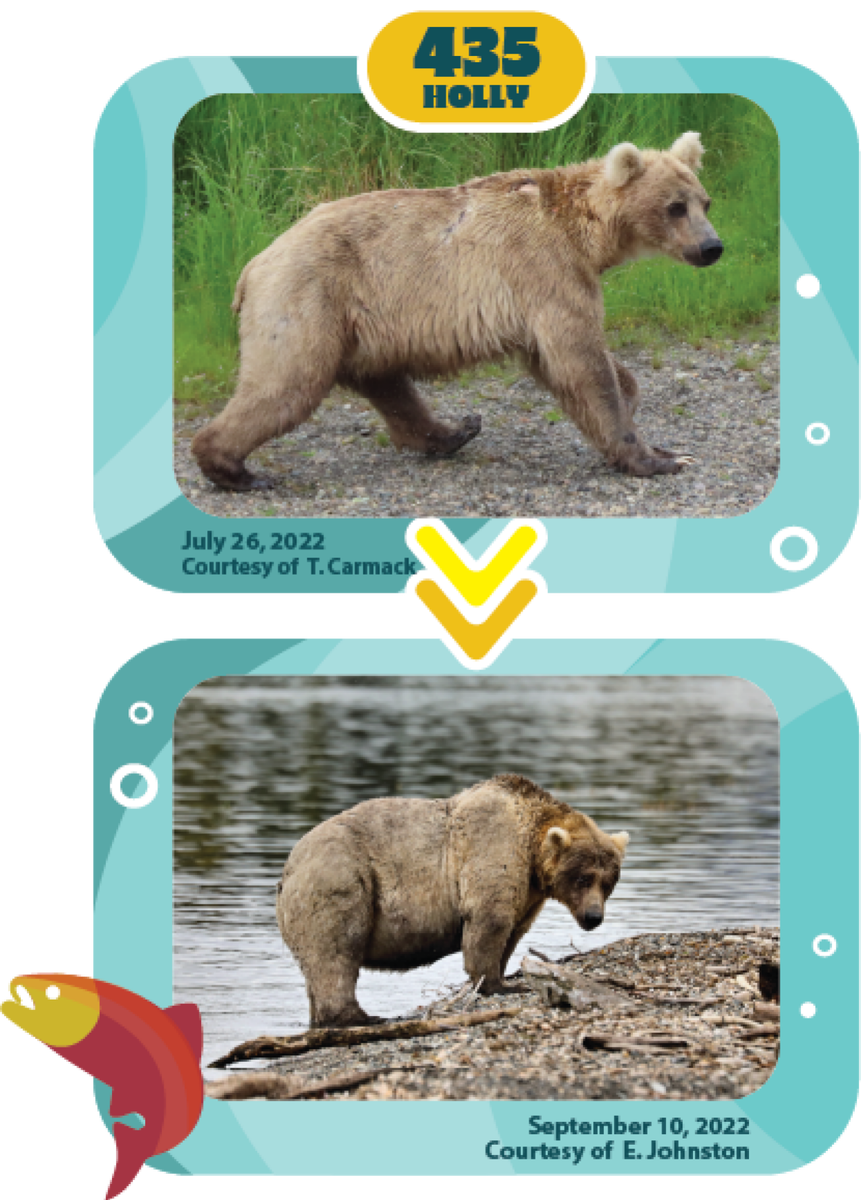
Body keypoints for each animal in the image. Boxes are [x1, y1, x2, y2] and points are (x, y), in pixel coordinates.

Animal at [191, 131, 721, 492]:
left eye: (705, 201)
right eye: (675, 207)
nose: (711, 247)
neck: (586, 236)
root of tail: (254, 265)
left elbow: (577, 364)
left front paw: (642, 415)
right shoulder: (544, 270)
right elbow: (580, 360)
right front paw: (660, 458)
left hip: (360, 318)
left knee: (384, 382)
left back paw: (454, 431)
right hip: (309, 296)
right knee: (287, 381)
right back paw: (235, 470)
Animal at [275, 774, 630, 1029]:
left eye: (608, 881)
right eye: (583, 878)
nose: (594, 916)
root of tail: (288, 869)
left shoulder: (528, 893)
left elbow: (513, 931)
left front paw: (503, 974)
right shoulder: (493, 847)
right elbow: (489, 920)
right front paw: (499, 984)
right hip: (340, 882)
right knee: (336, 952)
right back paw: (359, 1017)